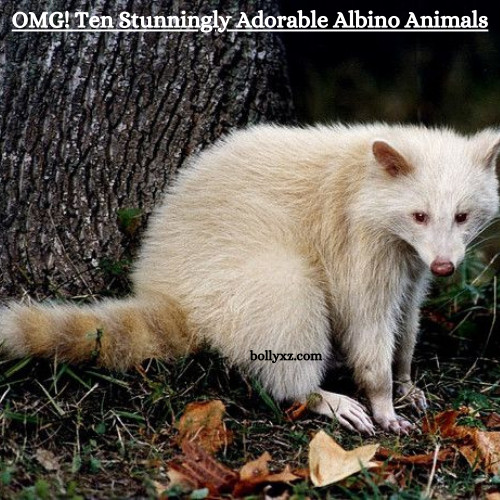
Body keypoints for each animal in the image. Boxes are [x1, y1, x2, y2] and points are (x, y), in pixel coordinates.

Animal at [0, 122, 500, 434]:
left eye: (462, 215)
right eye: (419, 214)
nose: (445, 268)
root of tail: (164, 287)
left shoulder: (412, 259)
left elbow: (408, 315)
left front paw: (405, 376)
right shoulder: (359, 244)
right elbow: (368, 321)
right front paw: (381, 394)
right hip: (231, 274)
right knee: (288, 300)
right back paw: (311, 393)